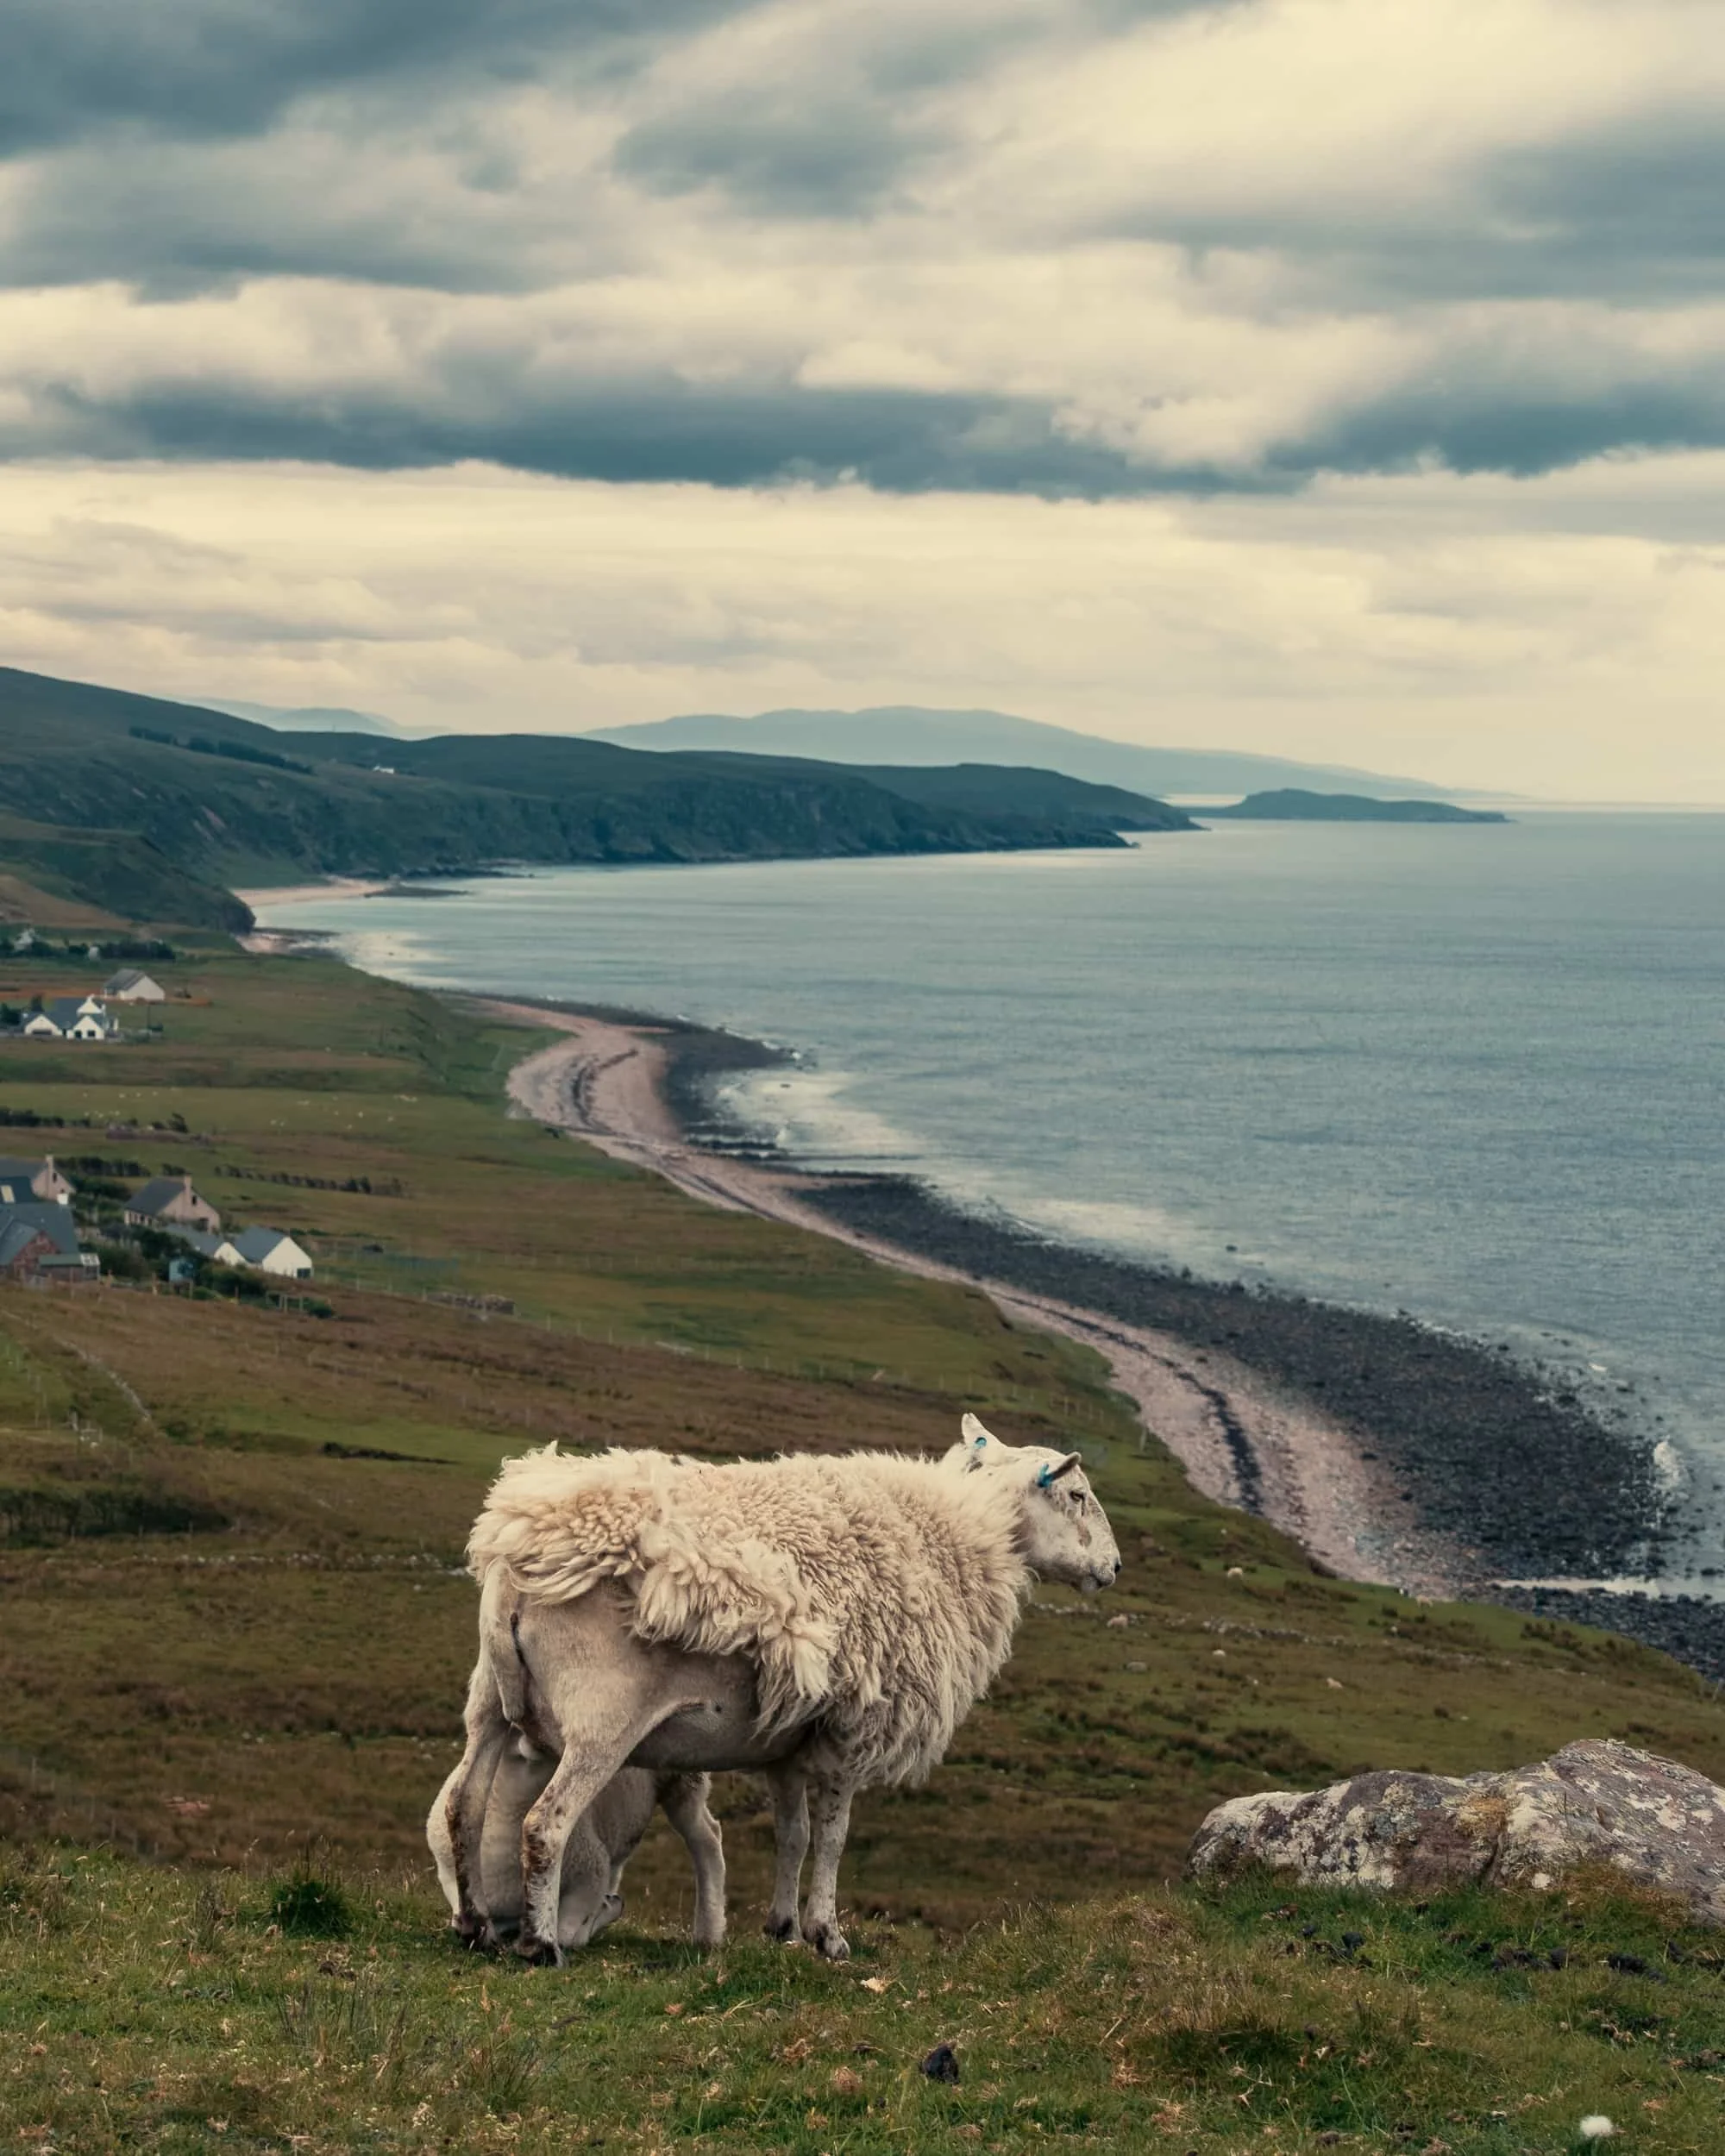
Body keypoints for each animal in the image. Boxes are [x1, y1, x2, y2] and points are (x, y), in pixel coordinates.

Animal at [443, 1415, 1120, 1964]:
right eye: (1078, 1495)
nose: (1113, 1569)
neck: (955, 1532)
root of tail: (517, 1561)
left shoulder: (789, 1740)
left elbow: (791, 1836)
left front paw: (782, 1927)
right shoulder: (853, 1726)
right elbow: (833, 1838)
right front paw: (828, 1934)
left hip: (488, 1703)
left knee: (463, 1804)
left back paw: (476, 1926)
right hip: (602, 1721)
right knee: (545, 1823)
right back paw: (540, 1943)